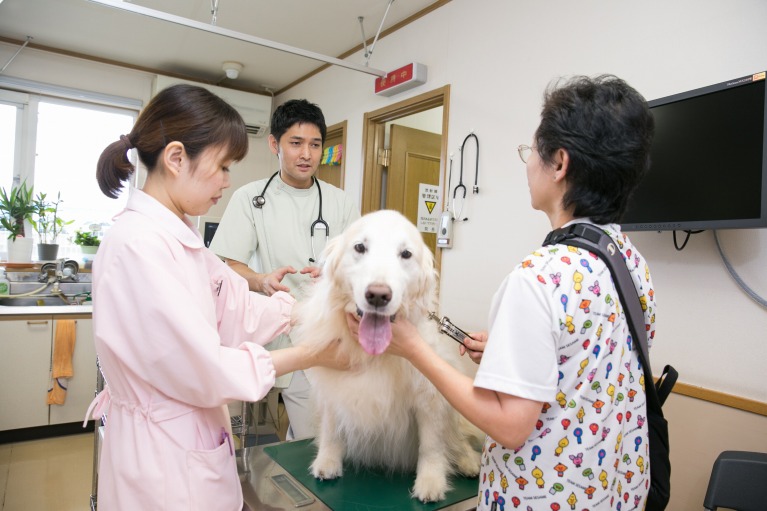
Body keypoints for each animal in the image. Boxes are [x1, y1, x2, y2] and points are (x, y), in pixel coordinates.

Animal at [292, 209, 480, 504]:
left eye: (406, 254)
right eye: (360, 247)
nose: (378, 295)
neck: (375, 353)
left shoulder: (429, 397)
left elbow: (431, 447)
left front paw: (430, 482)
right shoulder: (333, 389)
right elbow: (331, 430)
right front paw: (327, 462)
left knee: (456, 440)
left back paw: (468, 462)